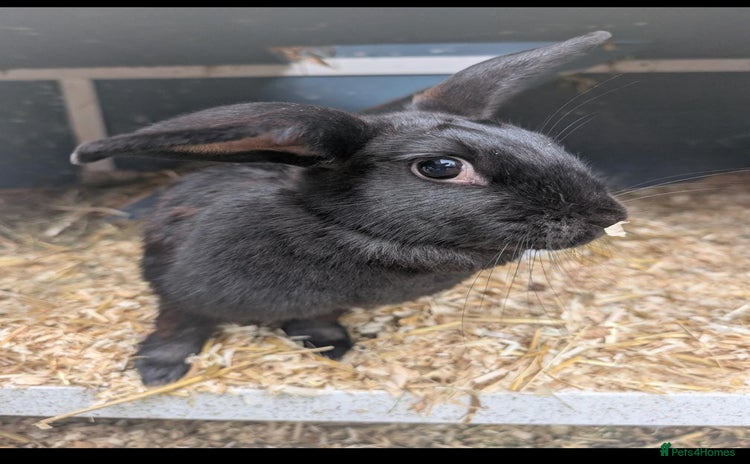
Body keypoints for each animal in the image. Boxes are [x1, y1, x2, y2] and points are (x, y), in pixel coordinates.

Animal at [71, 31, 627, 386]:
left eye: (534, 139)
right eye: (442, 167)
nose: (609, 214)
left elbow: (314, 319)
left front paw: (331, 346)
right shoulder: (181, 291)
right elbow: (177, 324)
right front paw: (157, 370)